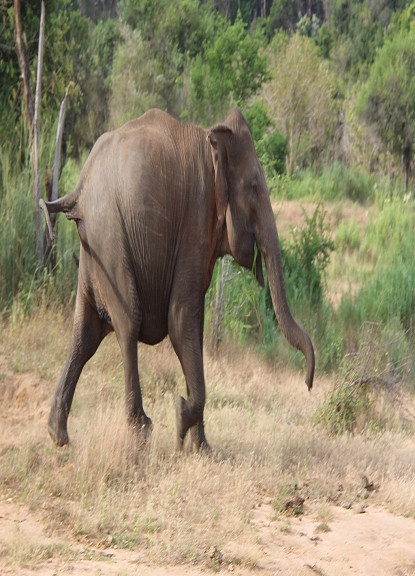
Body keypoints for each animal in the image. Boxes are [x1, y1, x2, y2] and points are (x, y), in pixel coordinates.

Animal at [41, 107, 316, 450]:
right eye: (253, 187)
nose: (308, 384)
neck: (213, 142)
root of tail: (77, 191)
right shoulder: (194, 223)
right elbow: (181, 319)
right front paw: (182, 416)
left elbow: (194, 331)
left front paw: (203, 450)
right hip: (110, 234)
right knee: (128, 321)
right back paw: (140, 431)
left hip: (93, 248)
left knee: (85, 331)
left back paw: (59, 435)